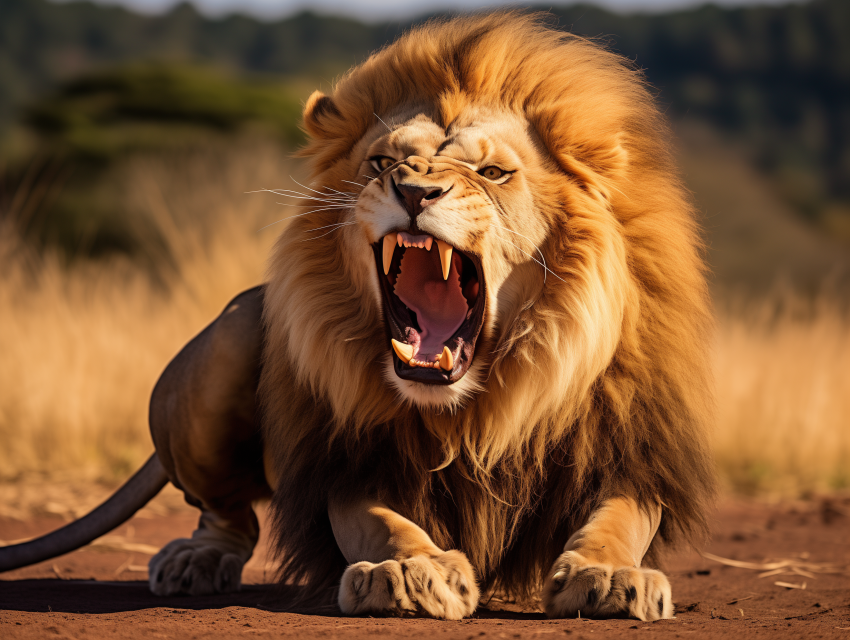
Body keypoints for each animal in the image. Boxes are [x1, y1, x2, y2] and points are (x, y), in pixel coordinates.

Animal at [0, 12, 716, 621]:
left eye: (492, 172)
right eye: (383, 162)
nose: (415, 190)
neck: (474, 410)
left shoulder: (630, 451)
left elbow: (617, 519)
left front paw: (610, 575)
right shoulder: (346, 463)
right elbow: (380, 521)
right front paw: (411, 572)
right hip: (230, 341)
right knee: (227, 514)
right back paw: (195, 559)